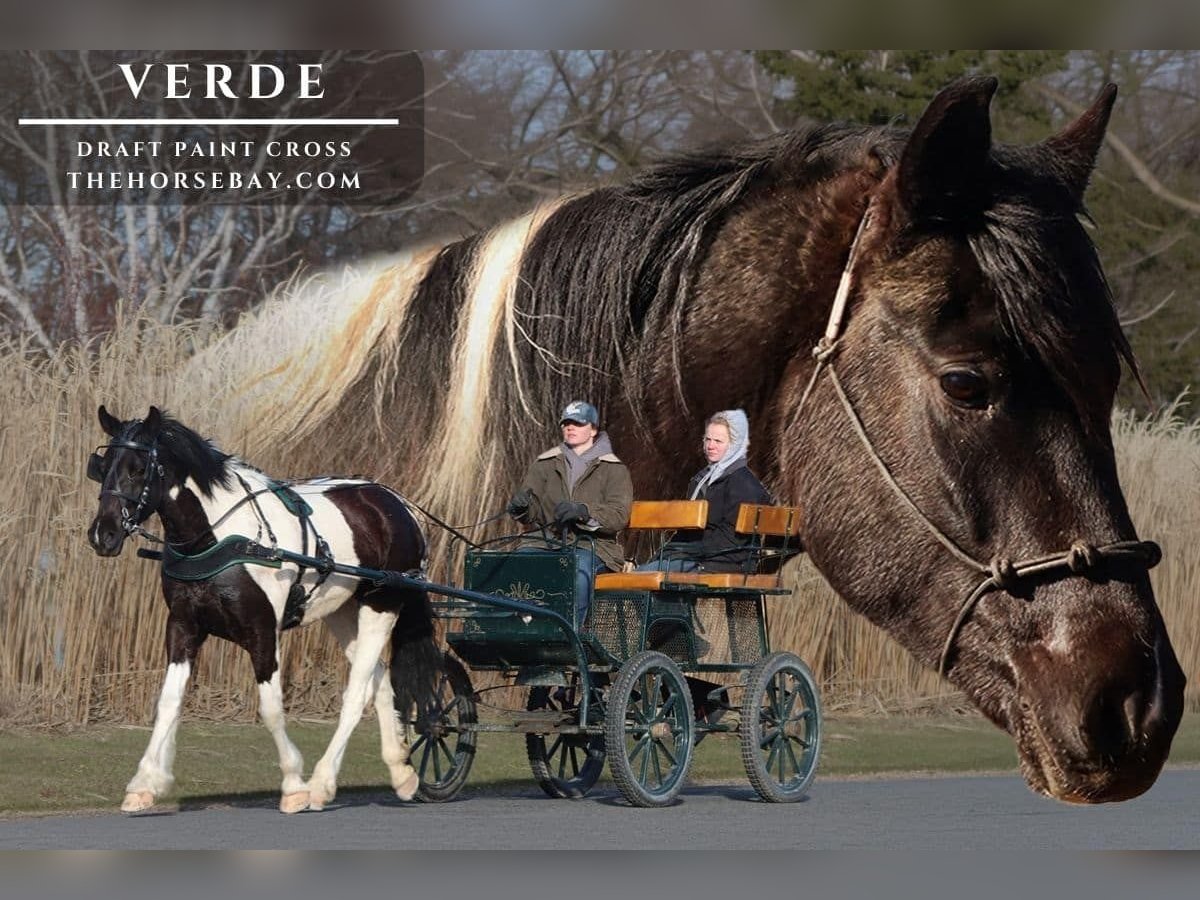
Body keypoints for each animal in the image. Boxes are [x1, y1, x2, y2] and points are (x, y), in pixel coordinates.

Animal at [86, 405, 441, 814]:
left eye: (139, 468)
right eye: (102, 465)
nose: (103, 534)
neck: (222, 538)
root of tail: (395, 502)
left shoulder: (262, 632)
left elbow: (271, 709)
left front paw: (294, 785)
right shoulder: (183, 626)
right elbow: (169, 702)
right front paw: (145, 782)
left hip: (381, 607)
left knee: (356, 694)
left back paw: (322, 782)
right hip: (343, 612)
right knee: (378, 681)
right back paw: (401, 772)